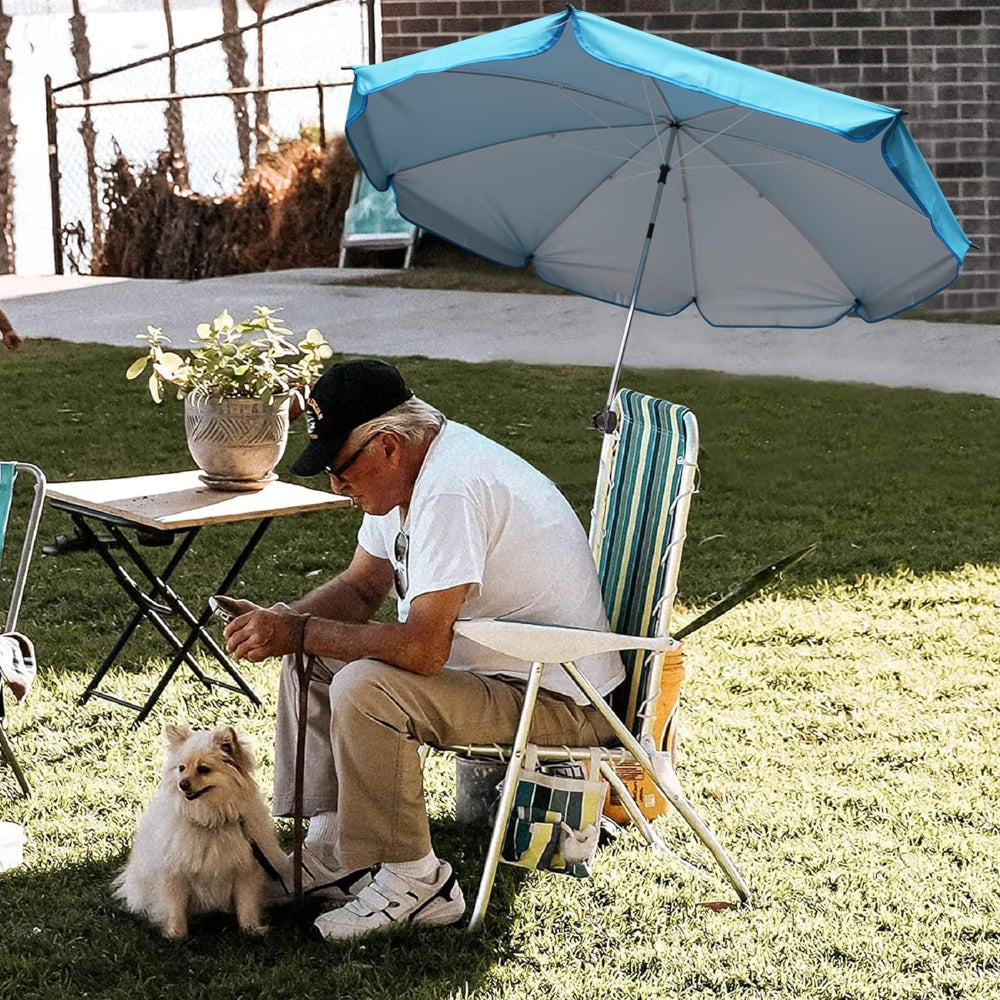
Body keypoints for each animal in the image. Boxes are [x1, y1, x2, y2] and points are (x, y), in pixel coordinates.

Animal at [114, 724, 284, 932]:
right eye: (181, 768)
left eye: (204, 769)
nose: (182, 784)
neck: (210, 819)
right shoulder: (174, 873)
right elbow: (175, 909)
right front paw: (176, 934)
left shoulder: (246, 869)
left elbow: (246, 904)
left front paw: (250, 930)